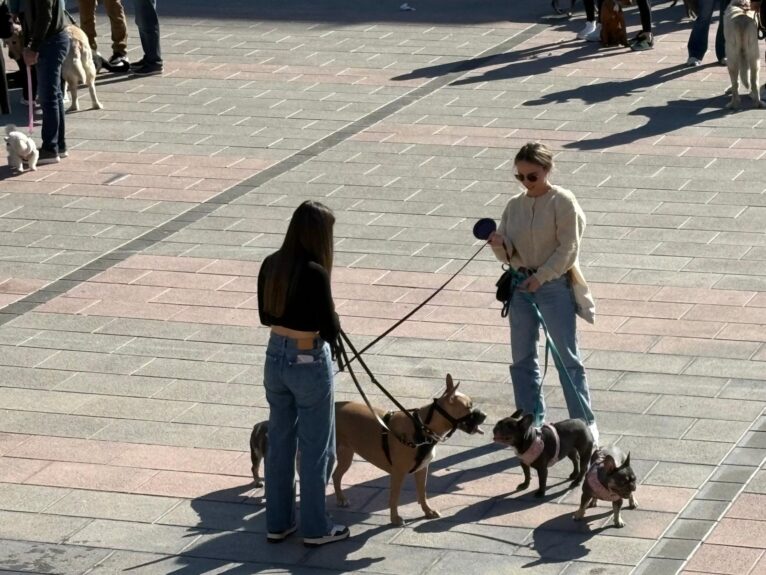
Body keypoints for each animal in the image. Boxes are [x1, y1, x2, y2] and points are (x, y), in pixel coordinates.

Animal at [332, 374, 488, 528]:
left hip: (346, 455)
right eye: (469, 406)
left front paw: (427, 511)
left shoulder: (422, 469)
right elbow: (394, 497)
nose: (485, 415)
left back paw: (340, 498)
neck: (421, 428)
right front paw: (395, 518)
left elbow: (422, 493)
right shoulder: (398, 474)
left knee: (336, 475)